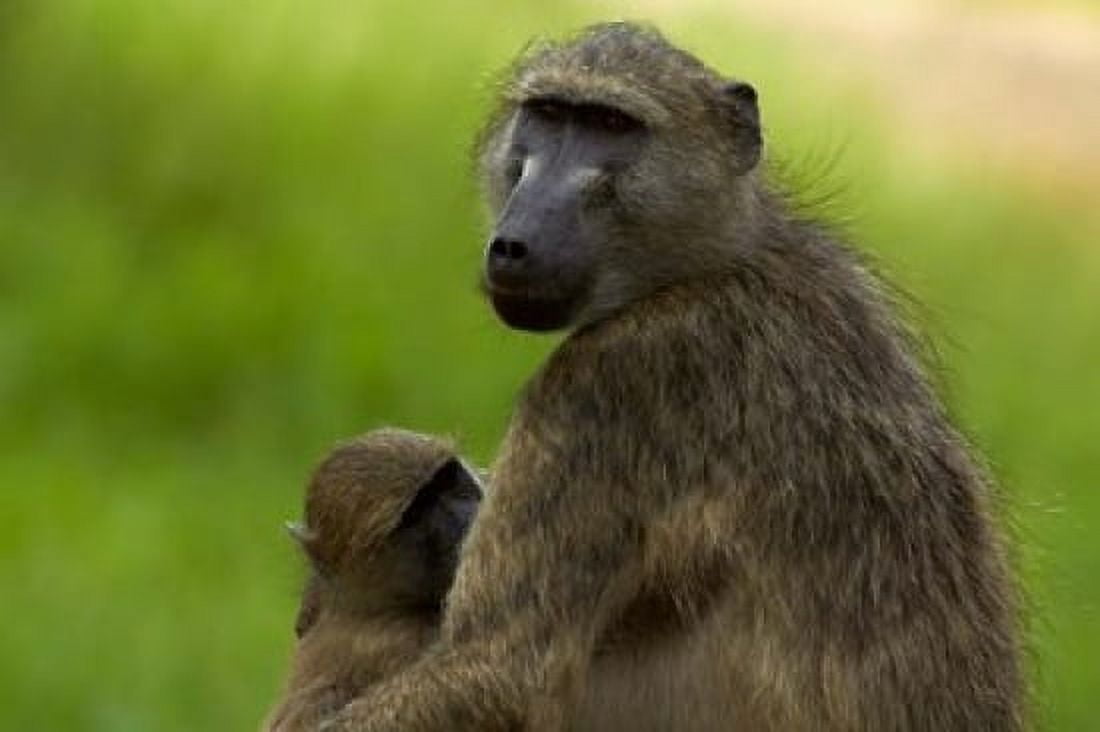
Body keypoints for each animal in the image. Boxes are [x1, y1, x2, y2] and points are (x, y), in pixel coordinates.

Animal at [323, 21, 1025, 731]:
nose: (515, 243)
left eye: (611, 125)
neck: (709, 265)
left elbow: (498, 670)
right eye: (548, 115)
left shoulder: (607, 382)